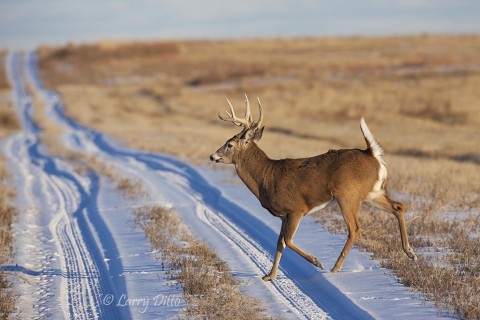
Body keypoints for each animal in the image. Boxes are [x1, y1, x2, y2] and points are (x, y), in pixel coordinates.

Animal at [210, 95, 416, 280]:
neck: (265, 178)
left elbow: (287, 240)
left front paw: (316, 261)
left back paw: (335, 268)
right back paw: (410, 252)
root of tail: (372, 154)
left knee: (355, 228)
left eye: (229, 144)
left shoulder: (296, 209)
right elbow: (279, 243)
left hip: (347, 194)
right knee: (398, 206)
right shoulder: (284, 216)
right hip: (372, 193)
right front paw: (269, 276)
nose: (212, 156)